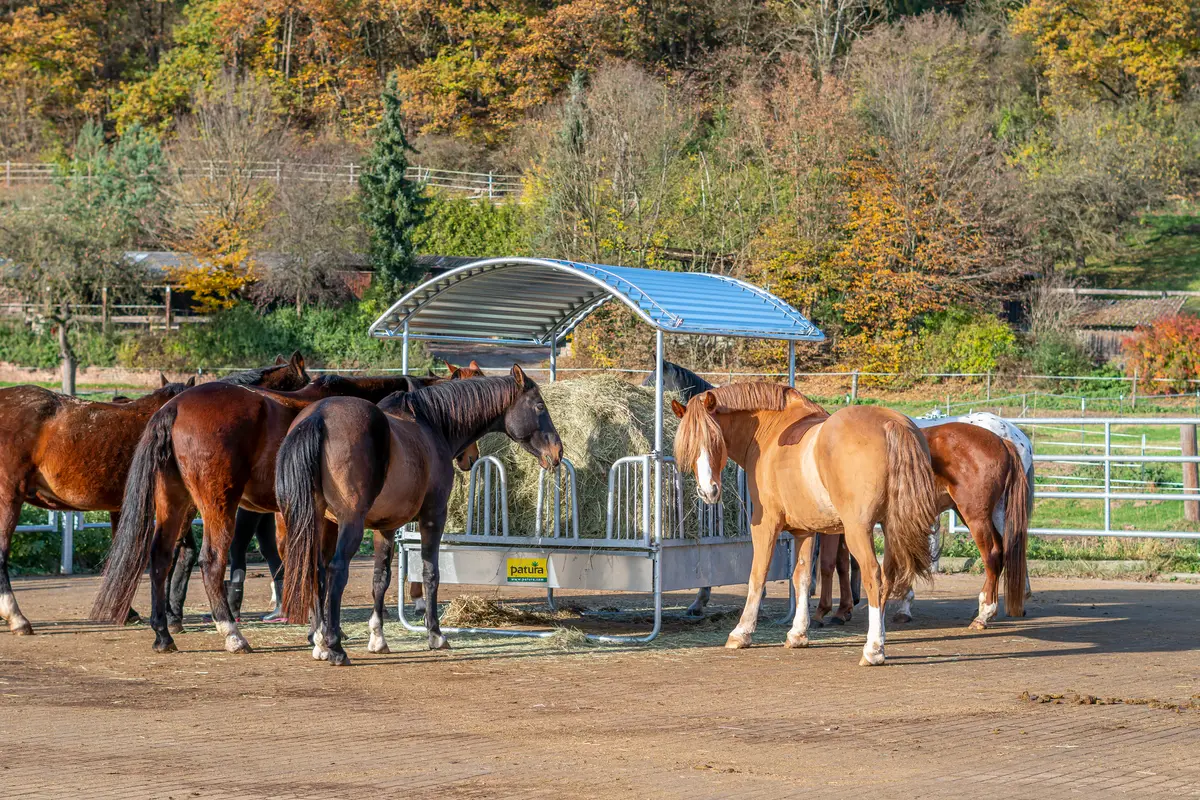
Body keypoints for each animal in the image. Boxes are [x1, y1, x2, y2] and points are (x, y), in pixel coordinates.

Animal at [0, 354, 309, 635]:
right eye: (305, 384)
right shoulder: (183, 508)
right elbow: (176, 556)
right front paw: (169, 617)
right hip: (8, 499)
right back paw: (17, 618)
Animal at [89, 371, 429, 653]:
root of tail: (173, 408)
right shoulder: (323, 519)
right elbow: (314, 568)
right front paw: (320, 632)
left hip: (175, 502)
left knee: (160, 558)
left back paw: (163, 634)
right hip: (218, 506)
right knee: (211, 561)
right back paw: (232, 634)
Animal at [276, 366, 563, 666]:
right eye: (539, 405)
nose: (558, 451)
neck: (430, 425)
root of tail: (319, 416)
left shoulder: (384, 527)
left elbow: (380, 579)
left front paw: (378, 638)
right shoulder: (433, 516)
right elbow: (430, 572)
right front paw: (435, 634)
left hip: (318, 522)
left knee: (315, 571)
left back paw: (320, 641)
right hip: (349, 524)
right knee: (336, 570)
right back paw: (334, 646)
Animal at [672, 383, 938, 666]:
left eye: (715, 440)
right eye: (687, 446)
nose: (708, 491)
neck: (771, 431)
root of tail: (891, 423)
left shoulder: (764, 524)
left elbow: (758, 575)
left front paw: (741, 632)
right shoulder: (805, 531)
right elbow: (800, 577)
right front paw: (798, 634)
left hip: (858, 530)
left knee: (873, 575)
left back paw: (873, 649)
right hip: (890, 528)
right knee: (888, 578)